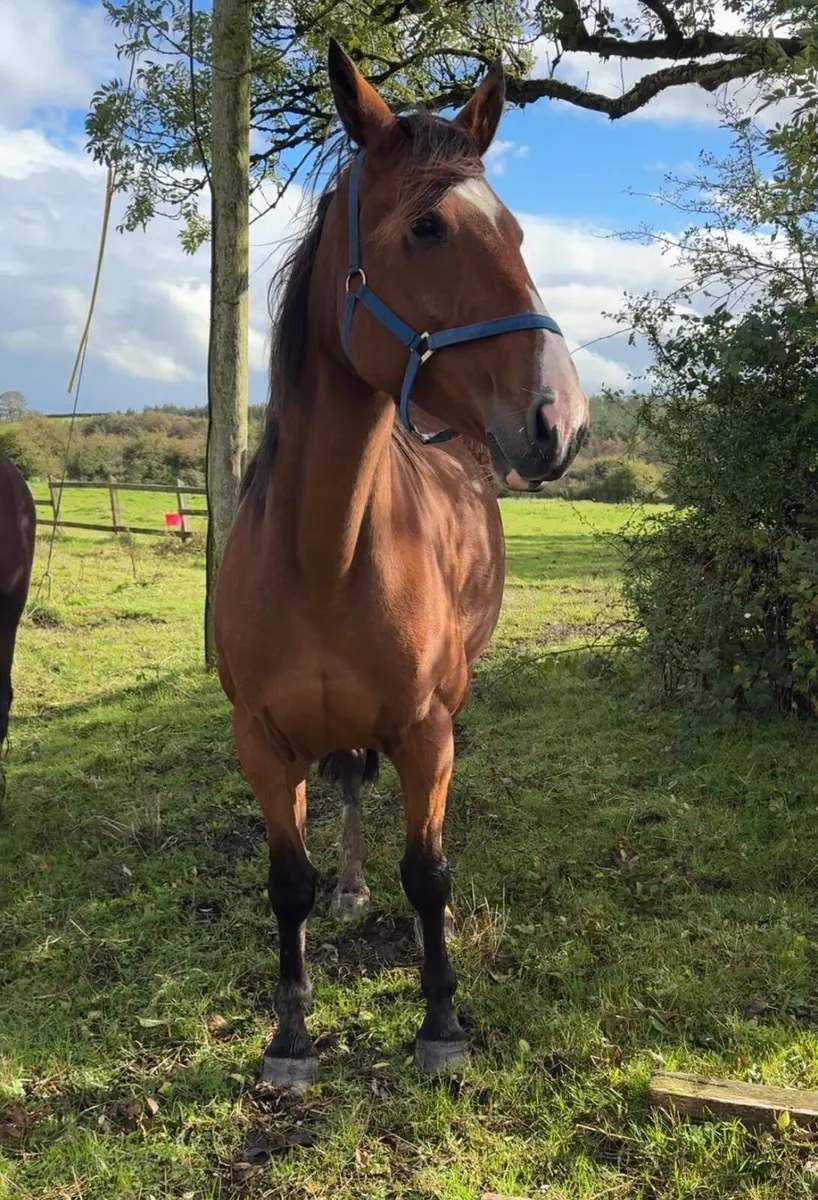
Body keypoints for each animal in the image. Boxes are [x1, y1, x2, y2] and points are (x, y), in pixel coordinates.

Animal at [215, 41, 589, 1086]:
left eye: (517, 230)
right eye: (427, 227)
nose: (560, 420)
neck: (322, 555)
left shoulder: (426, 729)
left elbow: (427, 871)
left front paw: (440, 1020)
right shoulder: (262, 742)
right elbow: (287, 883)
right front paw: (291, 1032)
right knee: (345, 786)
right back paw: (349, 890)